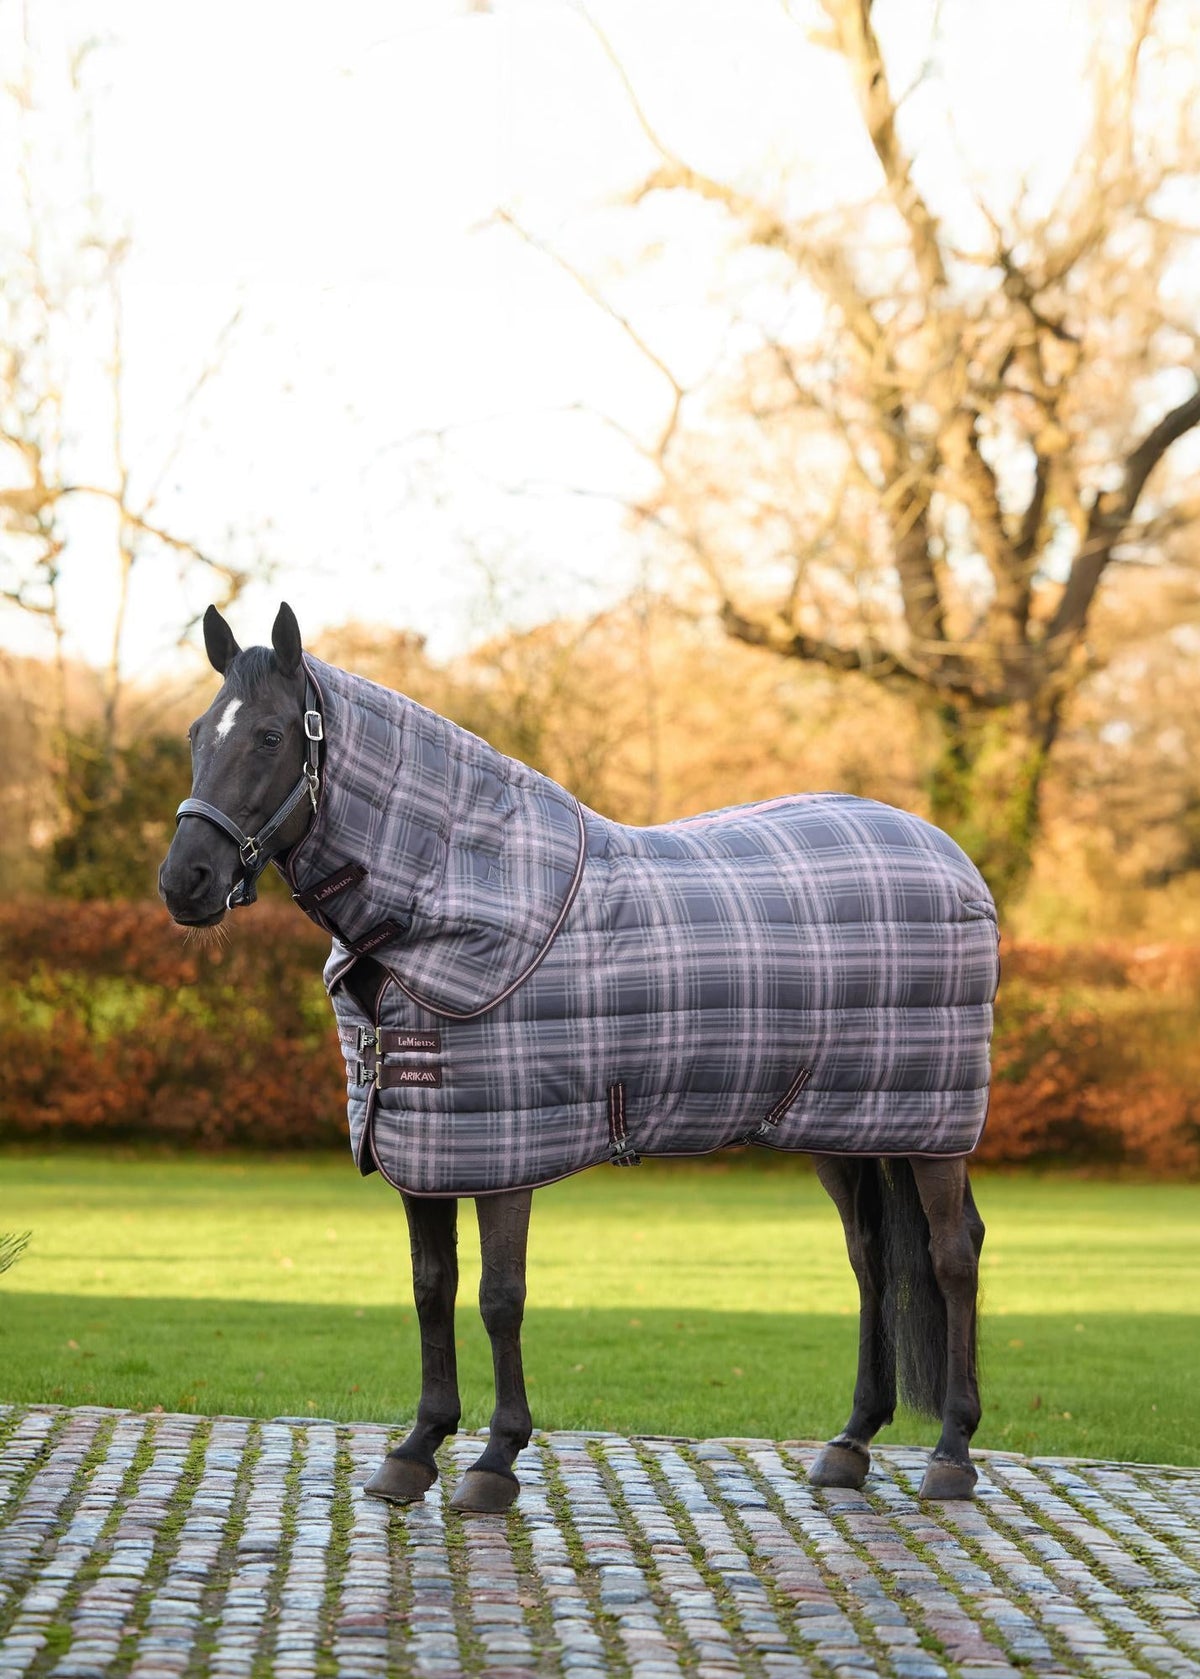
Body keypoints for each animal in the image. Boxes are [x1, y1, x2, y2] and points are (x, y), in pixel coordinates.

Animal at [159, 603, 996, 1513]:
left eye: (271, 735)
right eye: (200, 733)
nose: (184, 880)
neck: (460, 892)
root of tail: (954, 860)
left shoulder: (502, 1153)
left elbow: (500, 1297)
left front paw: (495, 1460)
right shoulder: (423, 1148)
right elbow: (430, 1287)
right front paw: (417, 1449)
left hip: (932, 1128)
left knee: (953, 1256)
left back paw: (952, 1452)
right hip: (845, 1124)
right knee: (870, 1259)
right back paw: (851, 1442)